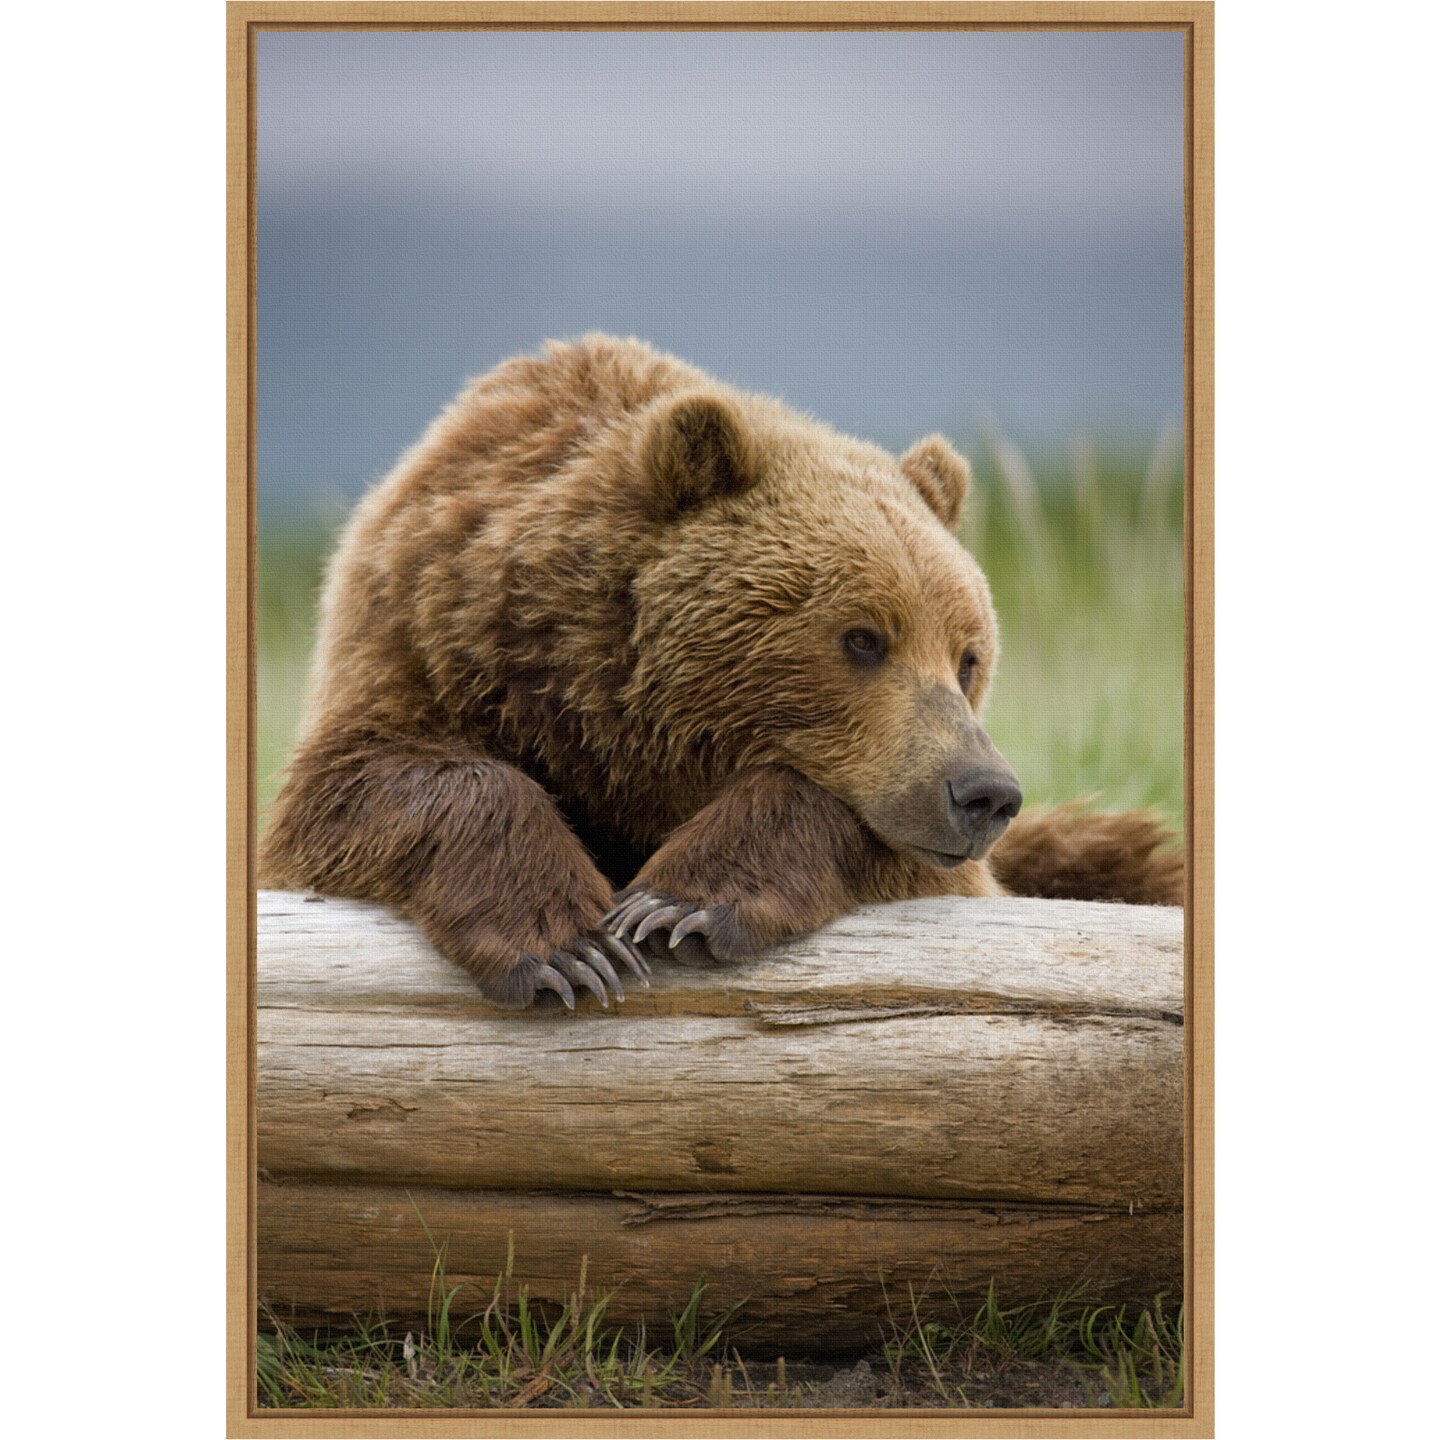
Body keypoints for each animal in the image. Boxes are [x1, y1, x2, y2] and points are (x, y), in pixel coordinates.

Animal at [260, 334, 1182, 1009]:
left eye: (967, 656)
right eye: (862, 638)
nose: (984, 792)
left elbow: (876, 837)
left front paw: (682, 903)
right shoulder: (425, 640)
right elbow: (358, 790)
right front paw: (569, 946)